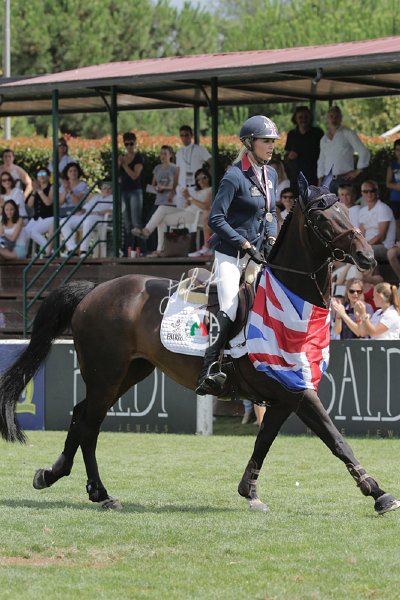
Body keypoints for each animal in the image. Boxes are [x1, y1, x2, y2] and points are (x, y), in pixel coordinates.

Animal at [0, 175, 398, 515]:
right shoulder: (297, 391)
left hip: (128, 373)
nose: (367, 257)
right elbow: (336, 439)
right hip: (106, 375)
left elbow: (265, 441)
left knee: (82, 416)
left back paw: (62, 478)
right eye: (320, 214)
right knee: (88, 423)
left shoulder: (286, 394)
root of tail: (95, 291)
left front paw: (250, 492)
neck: (289, 299)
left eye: (346, 208)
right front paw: (378, 493)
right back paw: (97, 491)